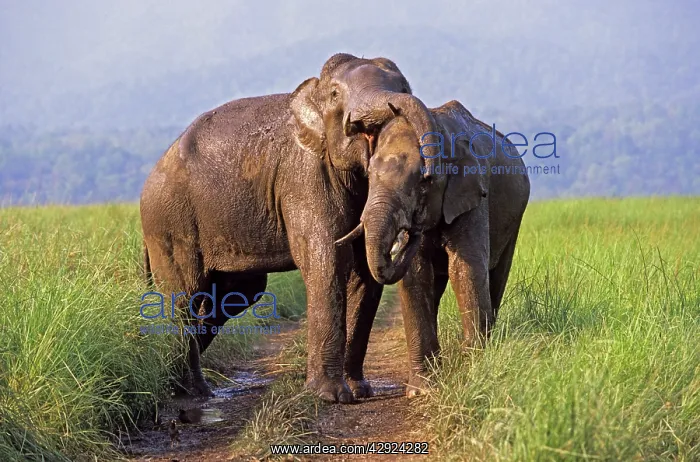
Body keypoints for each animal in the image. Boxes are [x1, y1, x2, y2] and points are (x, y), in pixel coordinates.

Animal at [140, 53, 435, 403]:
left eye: (405, 88)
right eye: (335, 94)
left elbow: (364, 273)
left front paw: (358, 392)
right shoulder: (306, 177)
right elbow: (327, 262)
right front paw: (330, 397)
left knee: (235, 294)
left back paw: (185, 384)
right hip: (169, 223)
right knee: (184, 295)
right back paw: (192, 392)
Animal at [336, 99, 531, 396]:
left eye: (424, 181)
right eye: (369, 176)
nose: (411, 230)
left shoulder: (473, 193)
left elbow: (465, 270)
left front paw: (472, 375)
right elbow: (416, 277)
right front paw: (421, 390)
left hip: (514, 219)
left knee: (497, 275)